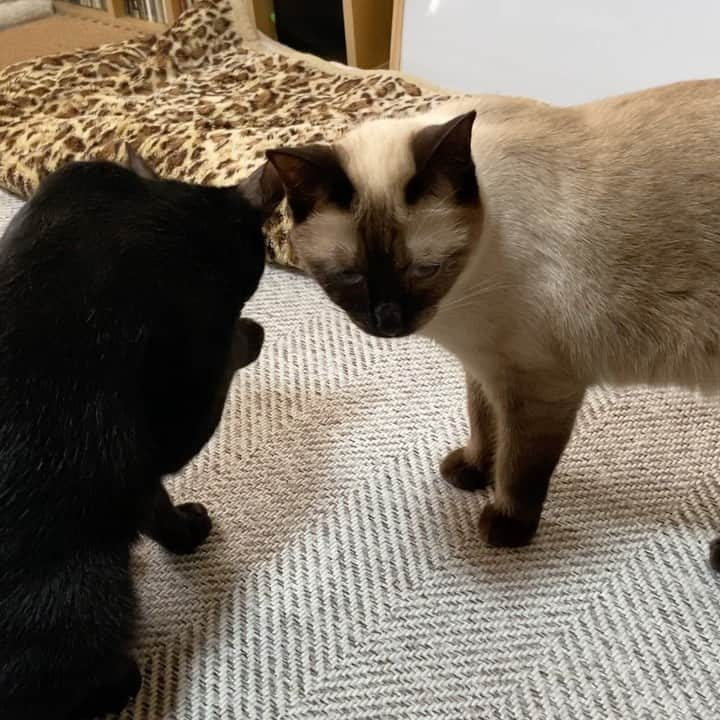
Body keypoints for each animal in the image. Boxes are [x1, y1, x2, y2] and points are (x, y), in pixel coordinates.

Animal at [262, 80, 720, 568]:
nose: (389, 320)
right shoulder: (485, 368)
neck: (461, 299)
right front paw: (472, 471)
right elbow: (483, 425)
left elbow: (520, 466)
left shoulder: (539, 388)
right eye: (351, 276)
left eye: (425, 270)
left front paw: (506, 525)